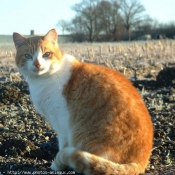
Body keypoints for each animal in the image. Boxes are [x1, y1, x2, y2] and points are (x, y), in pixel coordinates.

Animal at [13, 29, 153, 175]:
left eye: (46, 54)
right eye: (28, 56)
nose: (37, 64)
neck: (43, 79)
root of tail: (141, 162)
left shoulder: (62, 124)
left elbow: (63, 146)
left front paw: (57, 165)